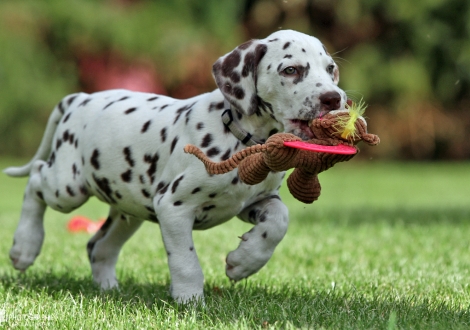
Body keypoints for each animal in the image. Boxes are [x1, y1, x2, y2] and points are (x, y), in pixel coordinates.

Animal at [4, 29, 348, 302]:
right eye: (291, 70)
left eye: (331, 69)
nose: (335, 98)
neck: (241, 138)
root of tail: (79, 99)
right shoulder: (173, 206)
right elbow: (185, 260)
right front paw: (189, 300)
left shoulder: (255, 201)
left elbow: (279, 221)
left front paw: (244, 262)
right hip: (68, 186)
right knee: (35, 180)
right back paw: (24, 247)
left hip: (128, 210)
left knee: (98, 246)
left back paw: (109, 290)